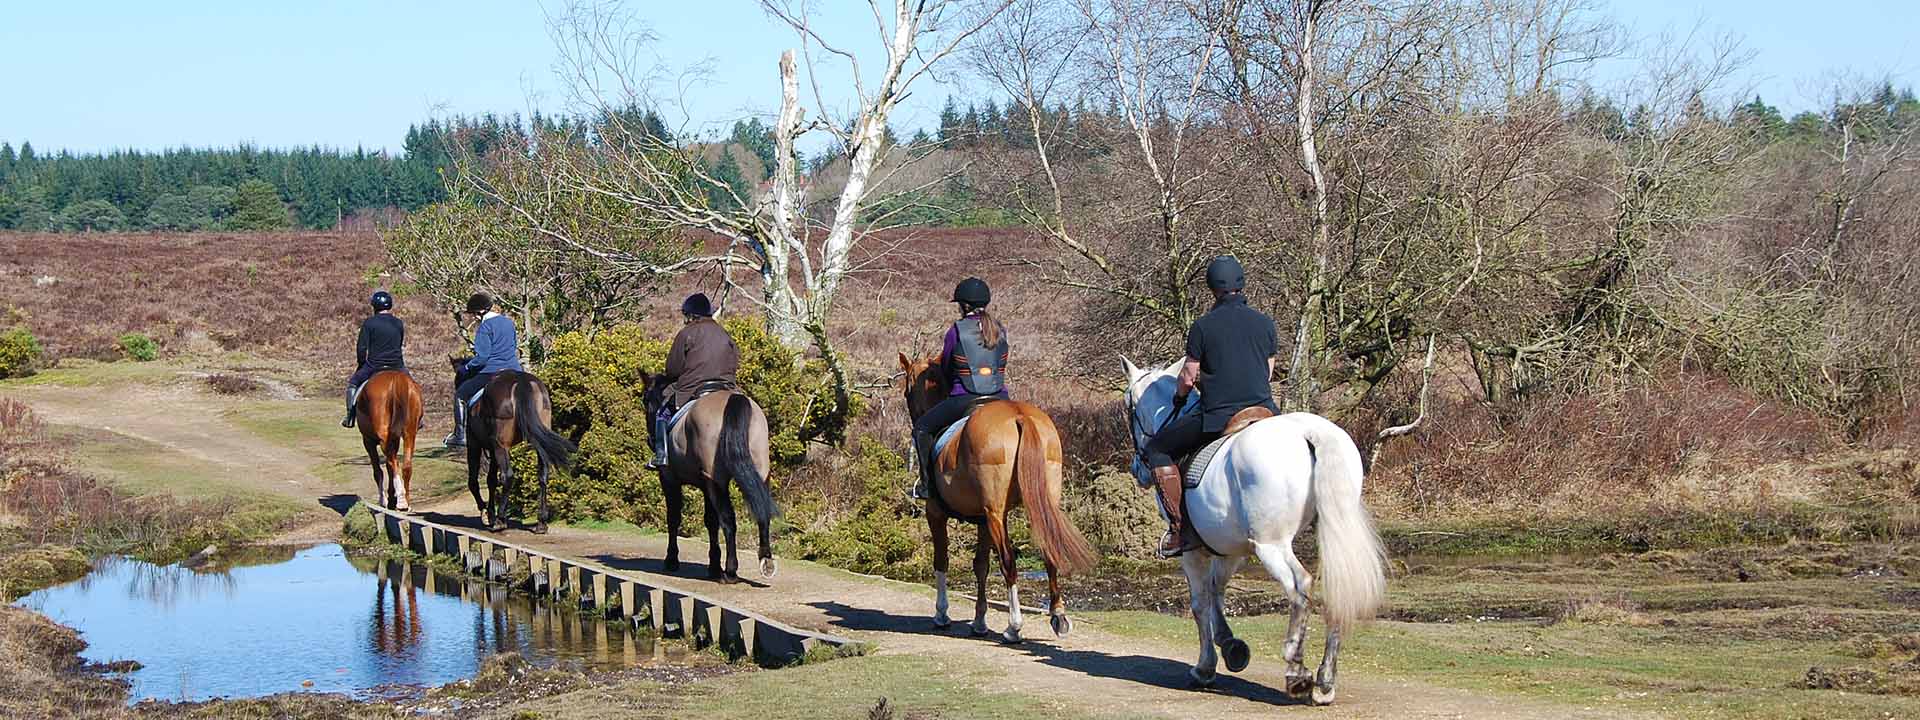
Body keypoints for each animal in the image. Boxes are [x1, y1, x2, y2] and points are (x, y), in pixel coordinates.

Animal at [359, 372, 426, 514]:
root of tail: (397, 378)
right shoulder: (395, 439)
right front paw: (391, 499)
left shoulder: (368, 441)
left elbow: (378, 471)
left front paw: (384, 501)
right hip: (409, 433)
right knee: (406, 466)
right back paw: (406, 502)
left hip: (383, 438)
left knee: (393, 463)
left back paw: (400, 500)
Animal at [466, 372, 572, 537]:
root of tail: (521, 381)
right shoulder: (492, 449)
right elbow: (491, 481)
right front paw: (490, 513)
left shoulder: (474, 444)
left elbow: (474, 482)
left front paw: (486, 512)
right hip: (536, 440)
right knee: (543, 475)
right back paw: (541, 522)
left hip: (500, 446)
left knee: (507, 476)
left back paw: (500, 520)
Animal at [637, 372, 771, 587]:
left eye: (645, 399)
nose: (650, 439)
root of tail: (733, 400)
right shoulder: (706, 484)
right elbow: (710, 521)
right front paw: (714, 565)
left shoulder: (669, 479)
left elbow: (674, 518)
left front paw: (672, 559)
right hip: (758, 473)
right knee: (761, 513)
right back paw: (766, 562)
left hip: (715, 480)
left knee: (728, 520)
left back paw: (731, 570)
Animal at [898, 353, 1098, 645]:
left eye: (907, 390)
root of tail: (1019, 415)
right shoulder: (982, 520)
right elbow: (981, 566)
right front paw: (979, 621)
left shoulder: (936, 513)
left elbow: (942, 561)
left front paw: (942, 614)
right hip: (1039, 504)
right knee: (1048, 551)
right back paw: (1058, 616)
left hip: (996, 513)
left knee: (1008, 563)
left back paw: (1014, 627)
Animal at [1121, 359, 1390, 706]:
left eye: (1129, 407)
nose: (1137, 469)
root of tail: (1310, 432)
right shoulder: (1230, 548)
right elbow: (1217, 589)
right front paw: (1231, 646)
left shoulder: (1194, 551)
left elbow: (1200, 602)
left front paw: (1205, 668)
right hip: (1329, 533)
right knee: (1335, 591)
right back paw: (1325, 682)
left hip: (1271, 545)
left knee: (1299, 586)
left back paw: (1296, 671)